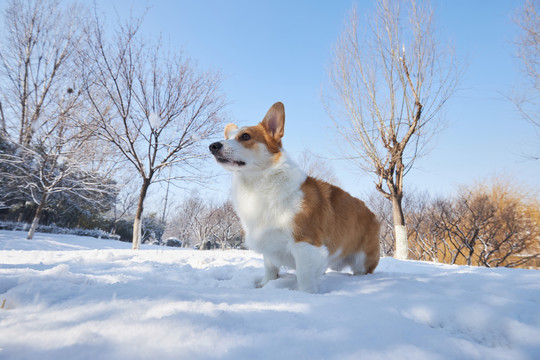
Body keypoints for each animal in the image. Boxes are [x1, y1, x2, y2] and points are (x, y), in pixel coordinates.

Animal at [208, 102, 380, 292]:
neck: (259, 183)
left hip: (363, 261)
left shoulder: (305, 244)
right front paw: (266, 285)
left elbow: (304, 277)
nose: (213, 146)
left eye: (245, 136)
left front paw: (304, 294)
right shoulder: (269, 244)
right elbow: (270, 268)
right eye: (228, 137)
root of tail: (373, 214)